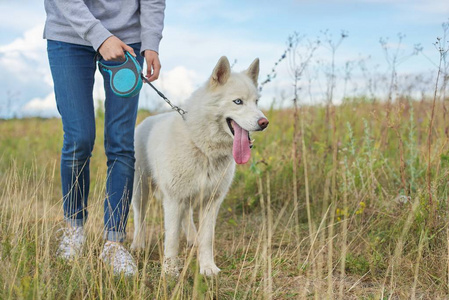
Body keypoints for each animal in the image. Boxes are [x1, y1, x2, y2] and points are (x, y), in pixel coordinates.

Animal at [131, 56, 268, 276]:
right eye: (238, 101)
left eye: (256, 102)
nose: (264, 122)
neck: (203, 147)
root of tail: (146, 120)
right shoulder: (173, 200)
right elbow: (171, 239)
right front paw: (170, 271)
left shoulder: (211, 202)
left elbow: (206, 239)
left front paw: (208, 268)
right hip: (141, 190)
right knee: (139, 217)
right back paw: (138, 245)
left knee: (187, 217)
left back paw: (192, 239)